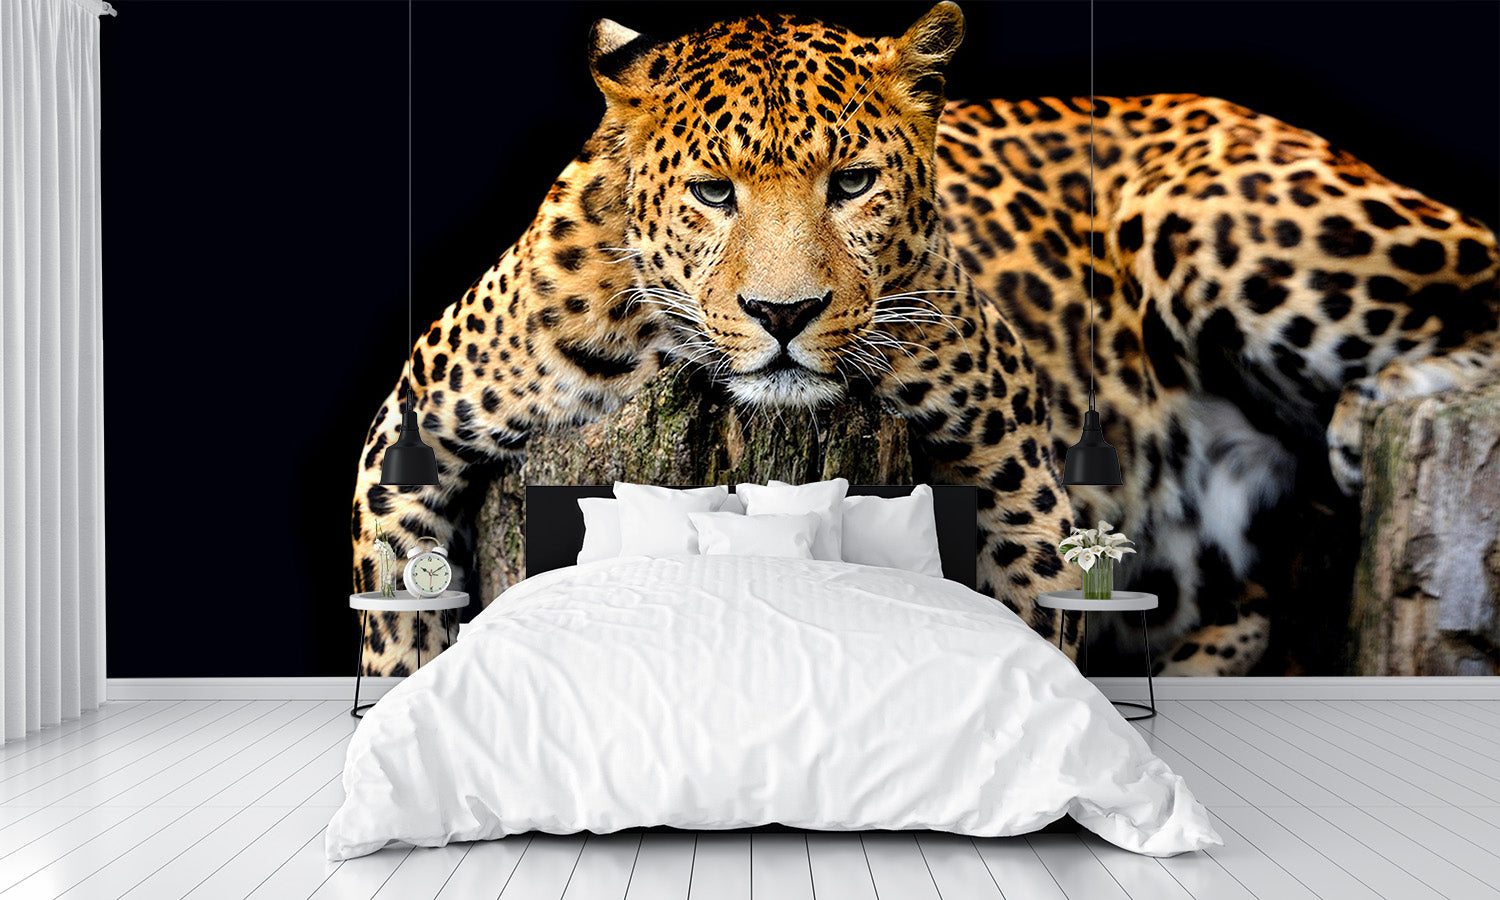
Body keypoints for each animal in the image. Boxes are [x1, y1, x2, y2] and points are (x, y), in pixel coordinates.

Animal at [348, 2, 1499, 678]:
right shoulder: (409, 429)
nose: (783, 315)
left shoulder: (1016, 467)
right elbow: (397, 622)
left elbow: (1025, 627)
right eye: (714, 192)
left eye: (853, 181)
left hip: (1217, 215)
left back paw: (1379, 406)